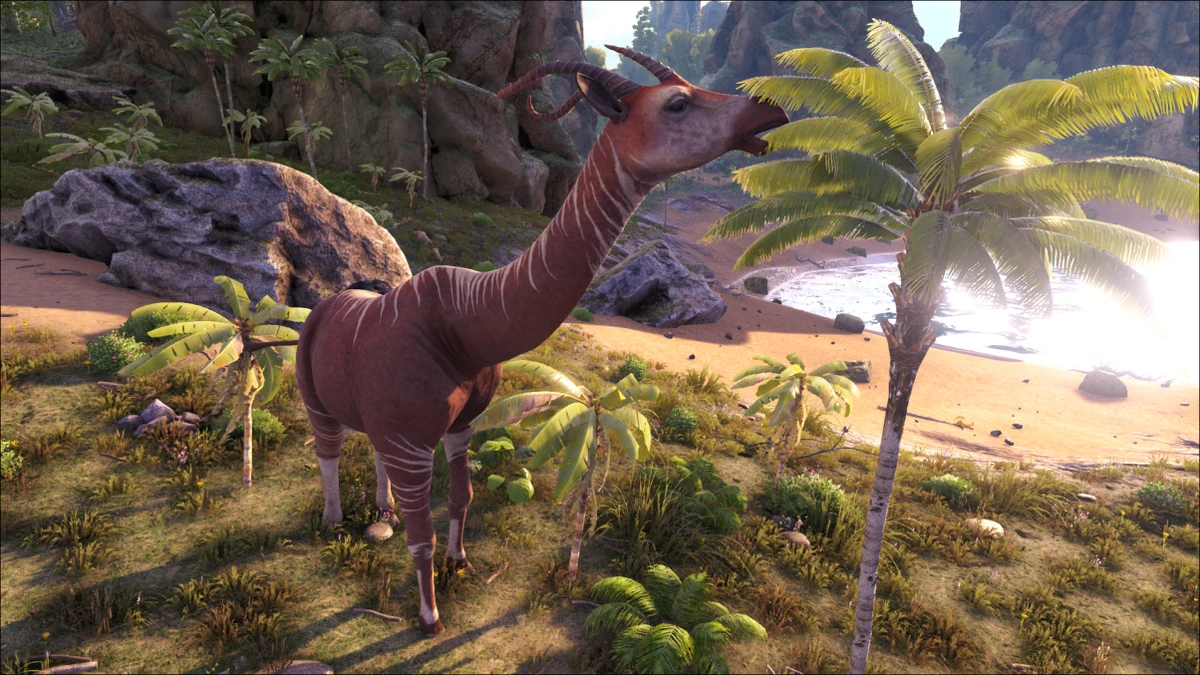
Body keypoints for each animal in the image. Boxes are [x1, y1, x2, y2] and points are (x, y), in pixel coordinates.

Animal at [294, 45, 788, 637]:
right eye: (677, 102)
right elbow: (422, 536)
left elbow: (460, 498)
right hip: (317, 401)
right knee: (327, 450)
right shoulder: (412, 439)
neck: (463, 324)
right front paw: (430, 618)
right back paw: (334, 520)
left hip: (376, 424)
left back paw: (381, 515)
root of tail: (324, 308)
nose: (772, 109)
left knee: (370, 456)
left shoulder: (456, 427)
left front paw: (461, 562)